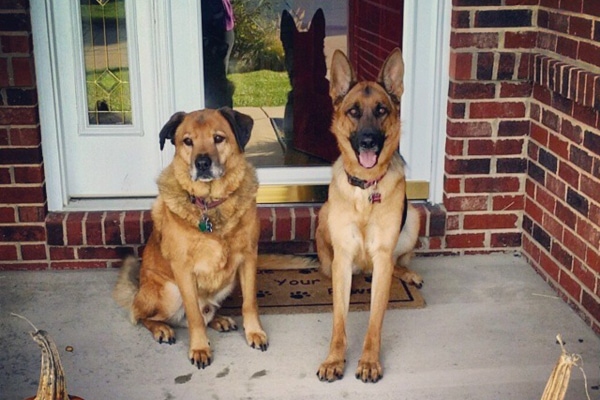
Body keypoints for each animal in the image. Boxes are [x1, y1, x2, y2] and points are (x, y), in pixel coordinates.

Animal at [113, 107, 268, 368]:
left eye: (218, 138)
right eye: (187, 141)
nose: (202, 163)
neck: (210, 203)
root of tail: (138, 291)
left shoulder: (248, 257)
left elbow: (249, 302)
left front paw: (254, 332)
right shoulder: (183, 269)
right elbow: (194, 315)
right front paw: (199, 348)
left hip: (228, 282)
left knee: (206, 313)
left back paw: (219, 319)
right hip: (169, 292)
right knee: (143, 315)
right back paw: (161, 329)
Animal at [316, 48, 420, 382]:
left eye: (381, 110)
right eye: (353, 111)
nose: (368, 142)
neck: (365, 187)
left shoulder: (383, 254)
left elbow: (375, 320)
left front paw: (369, 361)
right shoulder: (344, 257)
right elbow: (339, 320)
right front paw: (334, 359)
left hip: (413, 218)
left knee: (397, 263)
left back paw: (409, 274)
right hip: (324, 218)